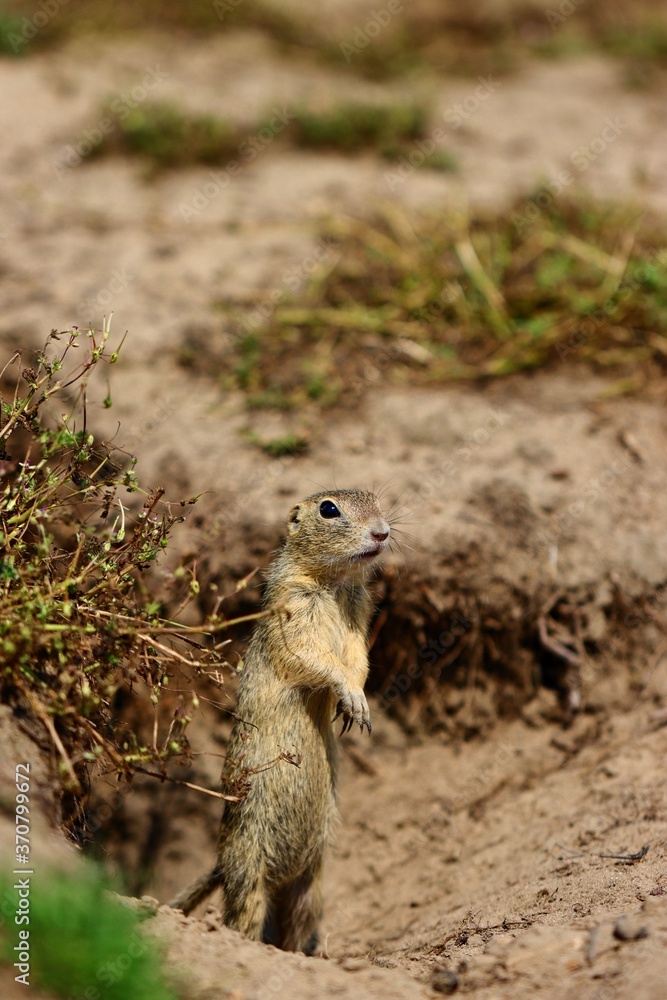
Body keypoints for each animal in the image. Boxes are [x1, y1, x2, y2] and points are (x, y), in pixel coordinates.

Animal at [168, 489, 390, 954]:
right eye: (329, 509)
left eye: (377, 500)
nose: (382, 532)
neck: (334, 583)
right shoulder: (293, 615)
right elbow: (314, 659)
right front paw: (350, 697)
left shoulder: (359, 618)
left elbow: (359, 660)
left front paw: (357, 704)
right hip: (248, 874)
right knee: (243, 918)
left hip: (311, 886)